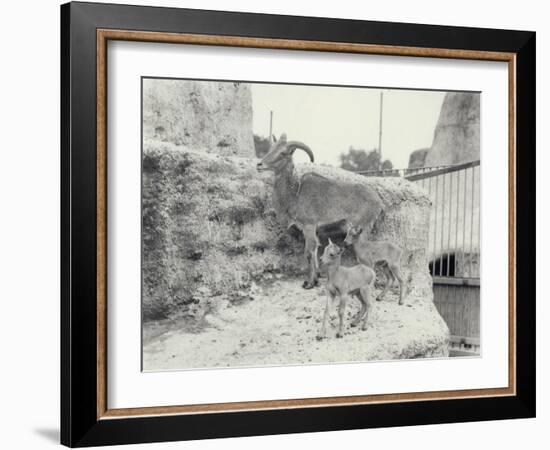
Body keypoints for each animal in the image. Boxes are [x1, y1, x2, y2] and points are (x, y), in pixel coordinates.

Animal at [258, 134, 384, 288]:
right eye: (271, 149)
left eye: (282, 153)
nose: (259, 165)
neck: (296, 195)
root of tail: (379, 202)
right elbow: (316, 252)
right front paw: (317, 278)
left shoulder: (309, 226)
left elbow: (309, 253)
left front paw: (309, 283)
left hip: (361, 230)